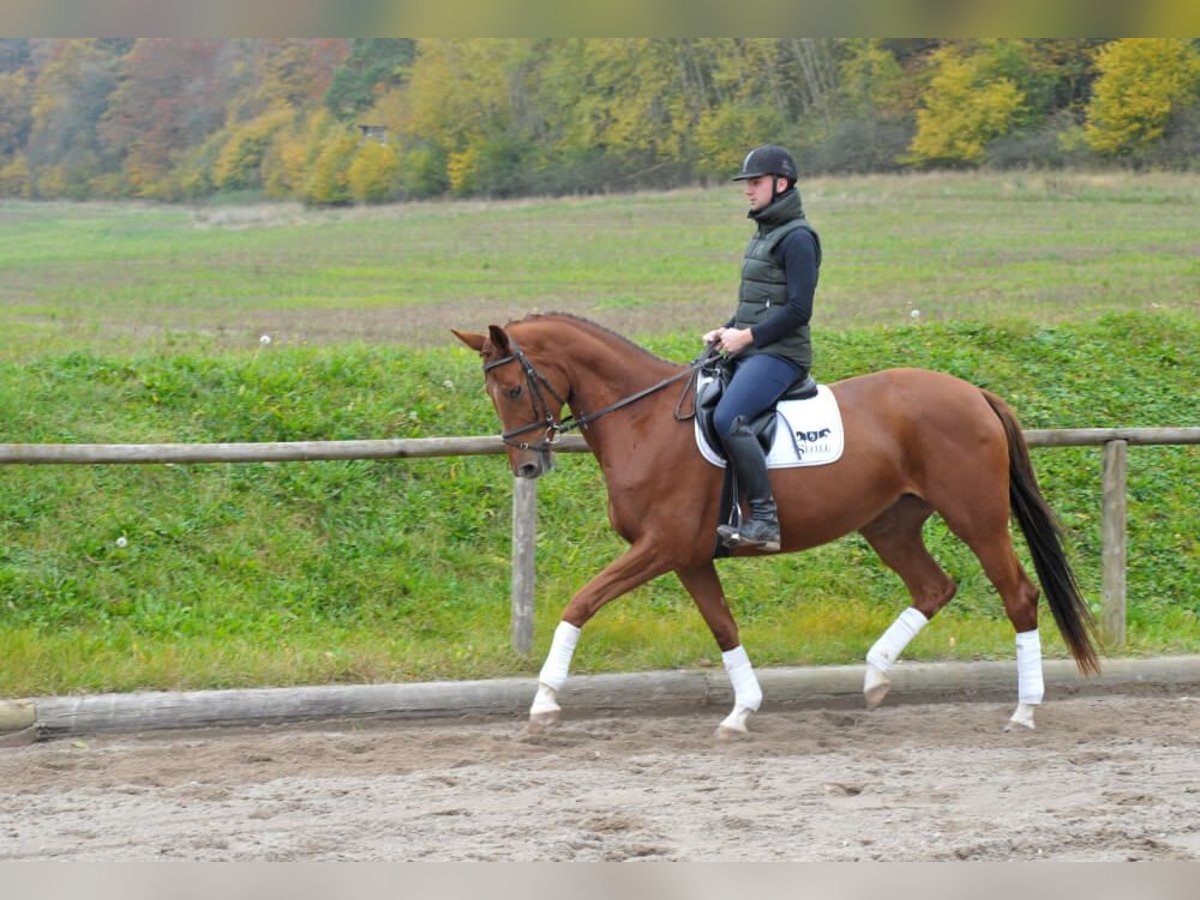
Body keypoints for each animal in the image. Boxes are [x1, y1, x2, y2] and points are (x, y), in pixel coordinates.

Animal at [453, 314, 1099, 734]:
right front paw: (742, 711)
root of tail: (975, 393)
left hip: (976, 518)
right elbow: (723, 628)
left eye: (512, 388)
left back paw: (1024, 710)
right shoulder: (689, 557)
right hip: (890, 525)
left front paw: (544, 700)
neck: (642, 421)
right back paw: (875, 676)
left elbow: (580, 602)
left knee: (1018, 594)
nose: (527, 465)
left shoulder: (661, 546)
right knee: (934, 587)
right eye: (493, 392)